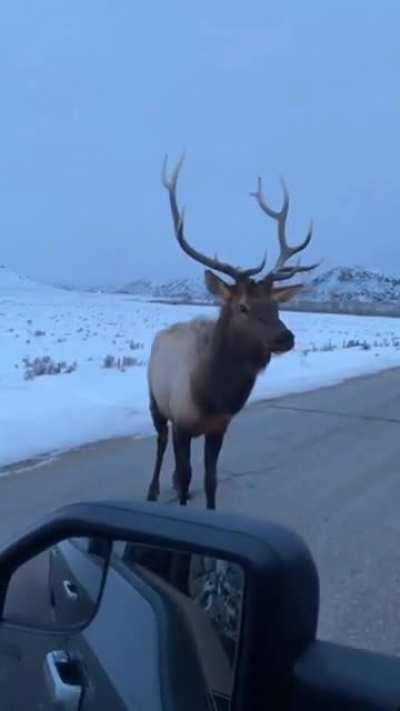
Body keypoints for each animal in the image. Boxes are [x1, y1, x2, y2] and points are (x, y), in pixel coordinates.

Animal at [146, 155, 318, 509]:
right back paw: (153, 489)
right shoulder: (182, 421)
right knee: (160, 441)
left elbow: (210, 480)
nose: (286, 337)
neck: (212, 396)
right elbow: (187, 477)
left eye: (276, 305)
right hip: (155, 400)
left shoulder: (219, 427)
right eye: (243, 307)